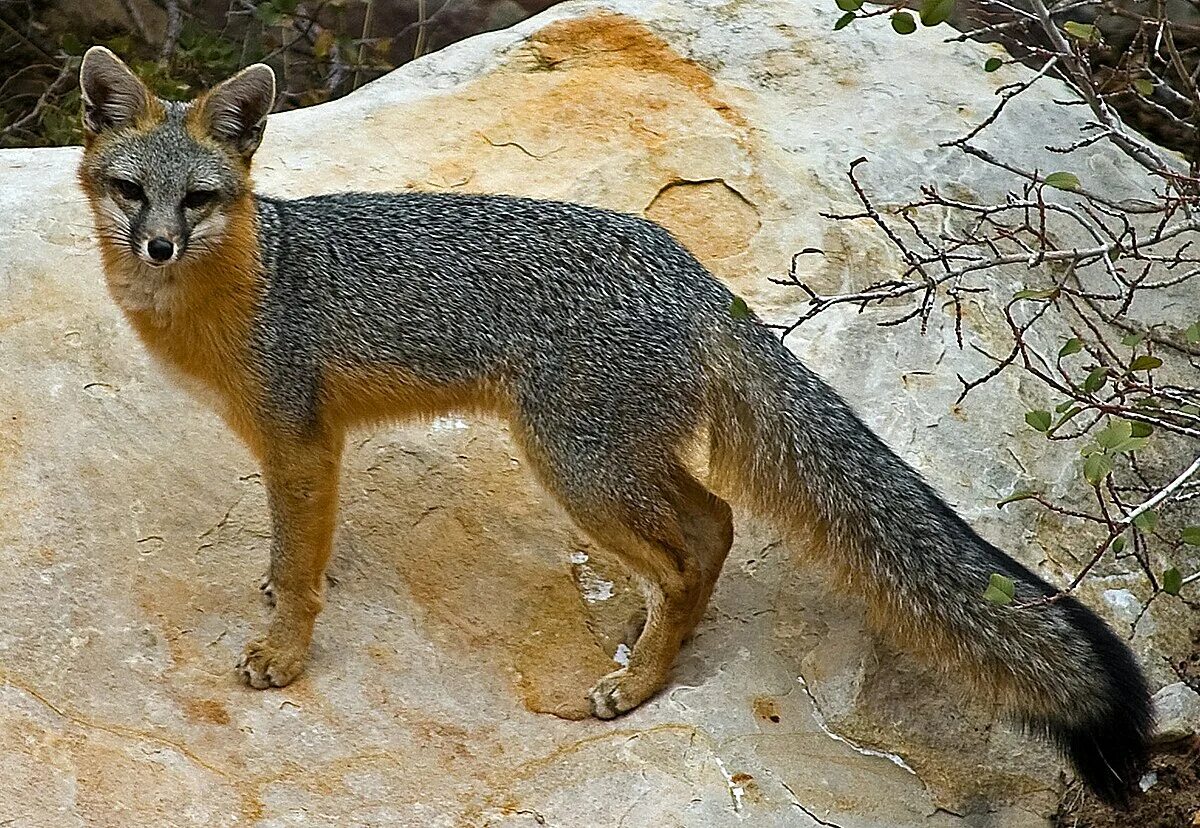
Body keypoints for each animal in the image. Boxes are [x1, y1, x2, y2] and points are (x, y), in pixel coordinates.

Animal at [75, 46, 1152, 801]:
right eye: (132, 191)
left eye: (199, 199)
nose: (158, 244)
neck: (240, 286)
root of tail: (695, 274)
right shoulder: (292, 448)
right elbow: (288, 547)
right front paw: (272, 595)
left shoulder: (302, 440)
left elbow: (301, 566)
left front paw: (284, 653)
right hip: (614, 458)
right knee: (710, 527)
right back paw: (646, 643)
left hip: (575, 462)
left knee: (692, 545)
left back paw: (637, 686)